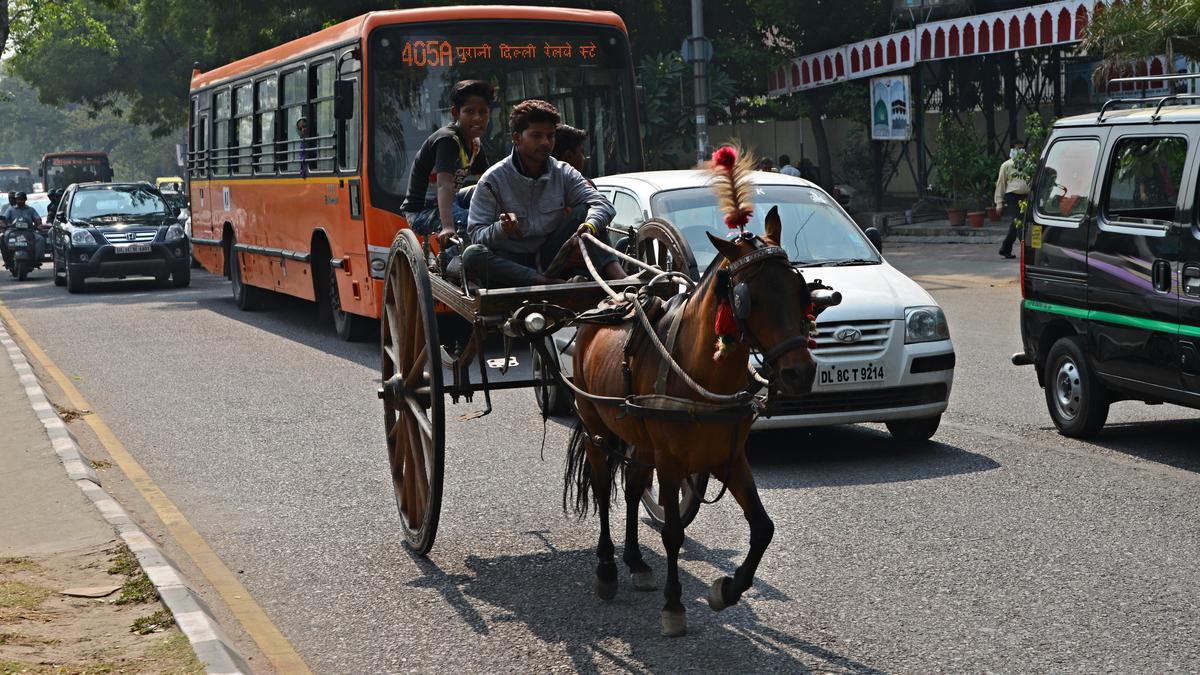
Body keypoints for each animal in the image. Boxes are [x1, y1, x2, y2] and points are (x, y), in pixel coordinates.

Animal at [561, 206, 816, 634]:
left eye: (799, 288)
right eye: (749, 298)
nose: (800, 373)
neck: (700, 376)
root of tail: (603, 304)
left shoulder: (729, 457)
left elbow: (763, 527)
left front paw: (727, 590)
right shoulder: (670, 460)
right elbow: (673, 533)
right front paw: (674, 604)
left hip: (640, 440)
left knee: (633, 489)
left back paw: (636, 562)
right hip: (595, 424)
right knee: (602, 487)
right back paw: (607, 568)